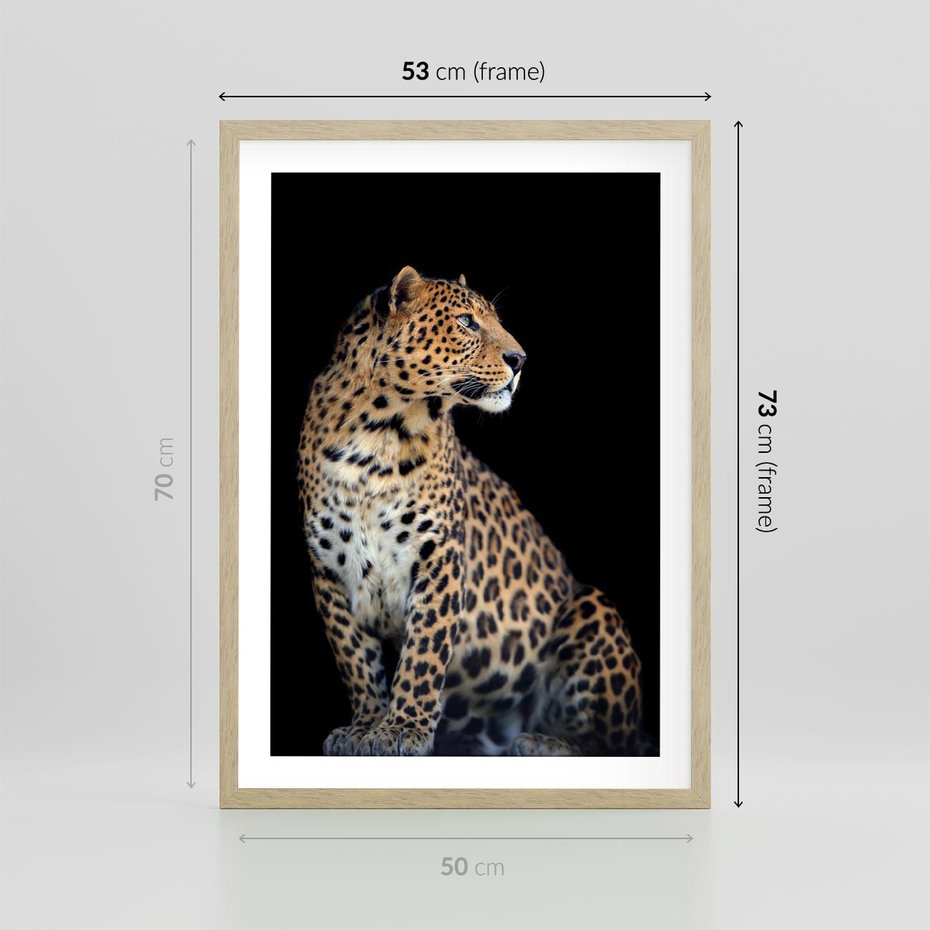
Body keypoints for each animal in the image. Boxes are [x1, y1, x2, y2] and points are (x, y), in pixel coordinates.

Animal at [298, 266, 649, 756]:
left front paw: (402, 730)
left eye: (495, 320)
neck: (377, 434)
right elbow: (355, 659)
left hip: (592, 607)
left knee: (613, 743)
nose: (520, 359)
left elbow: (423, 653)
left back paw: (542, 743)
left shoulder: (439, 556)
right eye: (466, 322)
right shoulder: (329, 568)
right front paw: (365, 726)